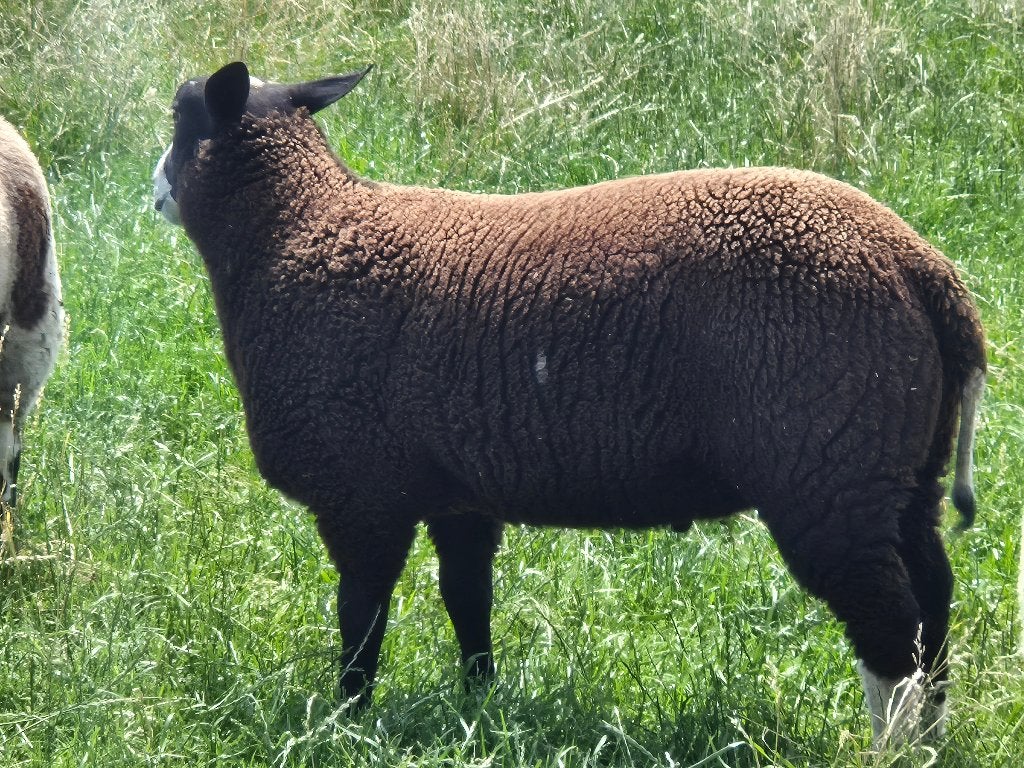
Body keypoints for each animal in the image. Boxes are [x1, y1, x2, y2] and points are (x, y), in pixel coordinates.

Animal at [153, 61, 986, 746]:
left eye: (180, 116)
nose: (155, 190)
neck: (293, 231)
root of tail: (921, 269)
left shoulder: (360, 493)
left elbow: (361, 620)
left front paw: (344, 724)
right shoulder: (458, 491)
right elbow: (467, 601)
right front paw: (479, 708)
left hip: (827, 464)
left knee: (889, 625)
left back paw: (893, 749)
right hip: (901, 466)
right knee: (934, 601)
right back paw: (933, 740)